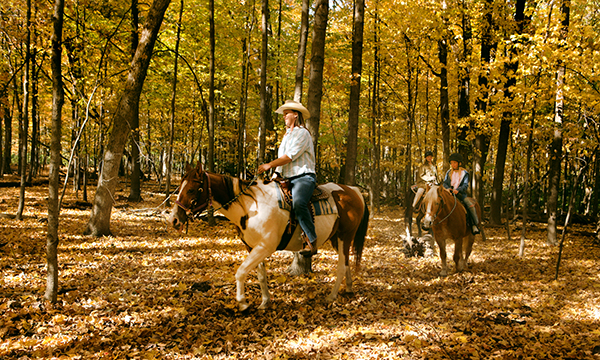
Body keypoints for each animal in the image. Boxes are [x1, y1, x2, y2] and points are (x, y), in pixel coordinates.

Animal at [166, 163, 368, 310]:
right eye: (180, 188)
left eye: (192, 189)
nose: (174, 219)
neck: (251, 206)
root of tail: (354, 191)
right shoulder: (253, 247)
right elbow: (260, 275)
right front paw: (265, 302)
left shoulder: (265, 247)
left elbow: (241, 271)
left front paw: (243, 303)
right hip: (336, 239)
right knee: (347, 263)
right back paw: (349, 289)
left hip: (345, 237)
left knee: (341, 266)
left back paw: (332, 296)